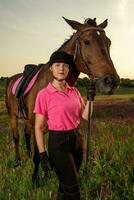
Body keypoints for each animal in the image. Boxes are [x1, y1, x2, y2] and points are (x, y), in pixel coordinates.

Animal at [5, 17, 119, 184]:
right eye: (87, 42)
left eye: (108, 42)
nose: (112, 82)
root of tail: (11, 79)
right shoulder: (37, 126)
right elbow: (38, 156)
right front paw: (36, 180)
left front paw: (46, 176)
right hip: (12, 116)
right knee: (16, 138)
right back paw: (18, 162)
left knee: (25, 135)